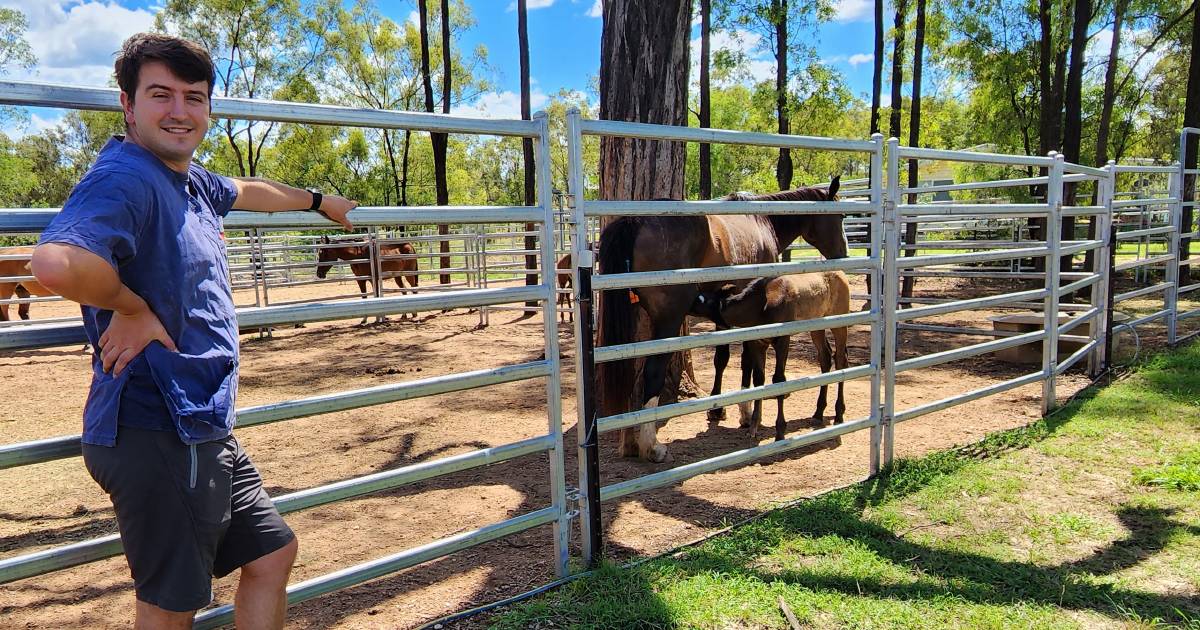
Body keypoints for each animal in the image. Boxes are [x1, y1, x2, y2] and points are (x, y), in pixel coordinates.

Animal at [696, 270, 854, 441]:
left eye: (702, 300)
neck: (760, 307)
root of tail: (842, 274)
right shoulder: (758, 343)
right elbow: (759, 379)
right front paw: (753, 427)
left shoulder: (782, 340)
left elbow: (779, 379)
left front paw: (780, 431)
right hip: (817, 327)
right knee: (825, 357)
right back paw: (818, 413)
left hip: (839, 324)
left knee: (841, 360)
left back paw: (839, 414)